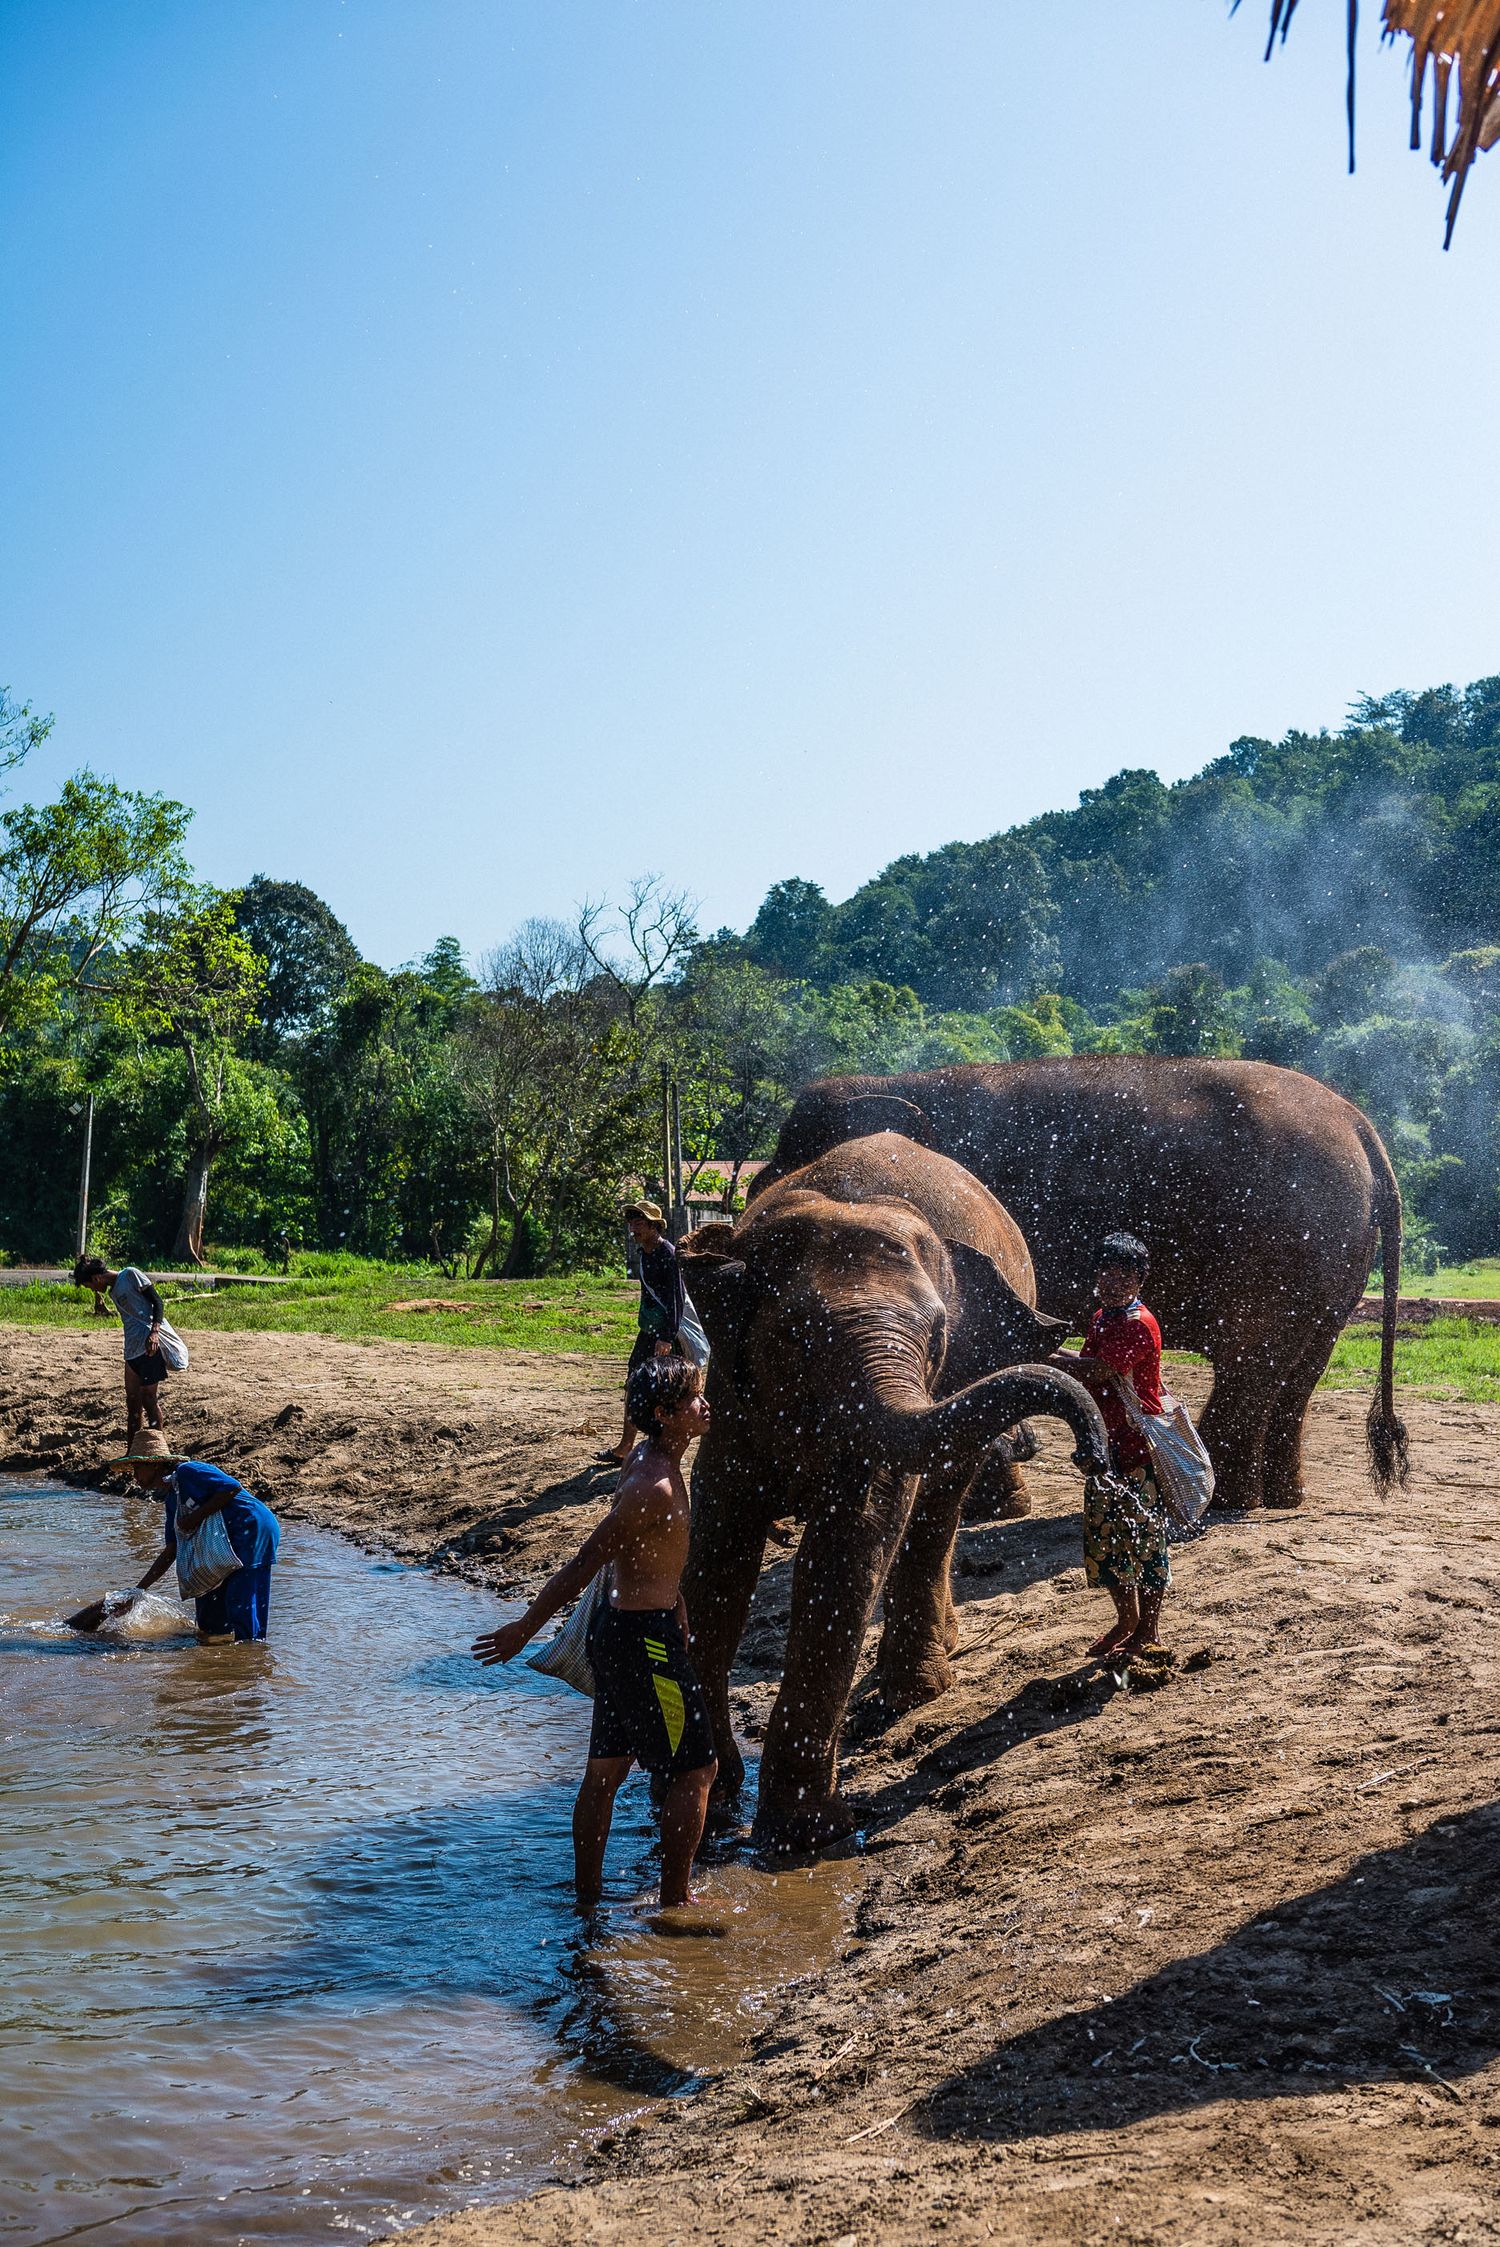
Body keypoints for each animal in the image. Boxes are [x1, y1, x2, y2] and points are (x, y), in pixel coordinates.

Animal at [679, 1131, 1111, 1851]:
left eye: (937, 1337)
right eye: (793, 1338)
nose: (1092, 1452)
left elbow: (851, 1540)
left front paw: (804, 1837)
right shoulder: (732, 1399)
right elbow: (719, 1548)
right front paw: (709, 1806)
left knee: (937, 1508)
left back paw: (914, 1689)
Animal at [750, 1056, 1408, 1514]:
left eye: (779, 1171)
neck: (898, 1081)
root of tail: (1362, 1126)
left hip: (1285, 1239)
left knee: (1254, 1358)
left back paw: (1224, 1500)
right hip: (1334, 1258)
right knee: (1301, 1367)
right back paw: (1278, 1499)